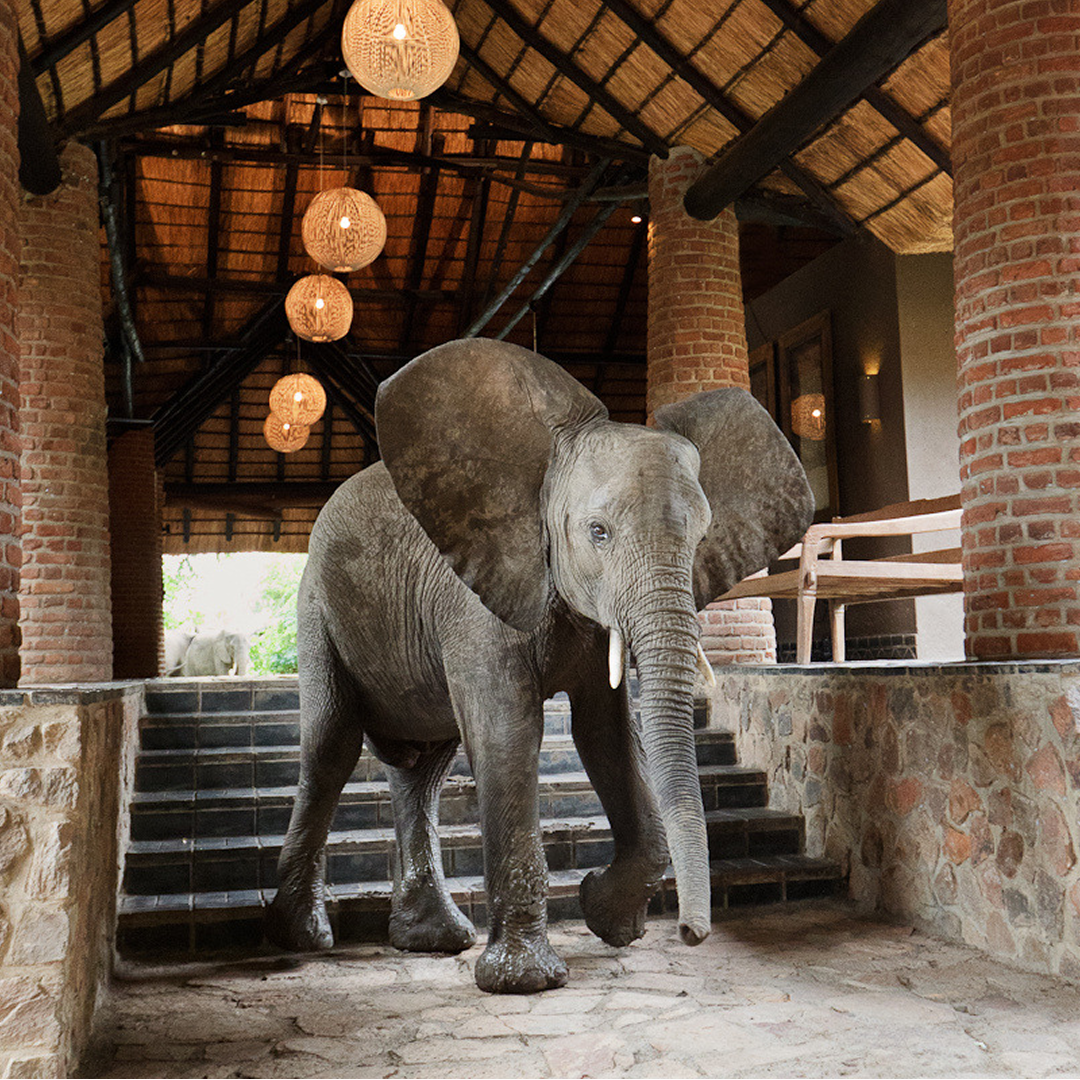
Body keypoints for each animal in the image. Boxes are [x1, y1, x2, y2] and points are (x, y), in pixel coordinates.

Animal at [265, 338, 813, 994]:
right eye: (598, 533)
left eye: (703, 538)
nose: (690, 933)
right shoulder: (475, 593)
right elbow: (507, 730)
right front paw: (526, 980)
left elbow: (606, 733)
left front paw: (607, 917)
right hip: (317, 606)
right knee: (332, 745)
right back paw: (301, 939)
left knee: (423, 768)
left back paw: (431, 940)